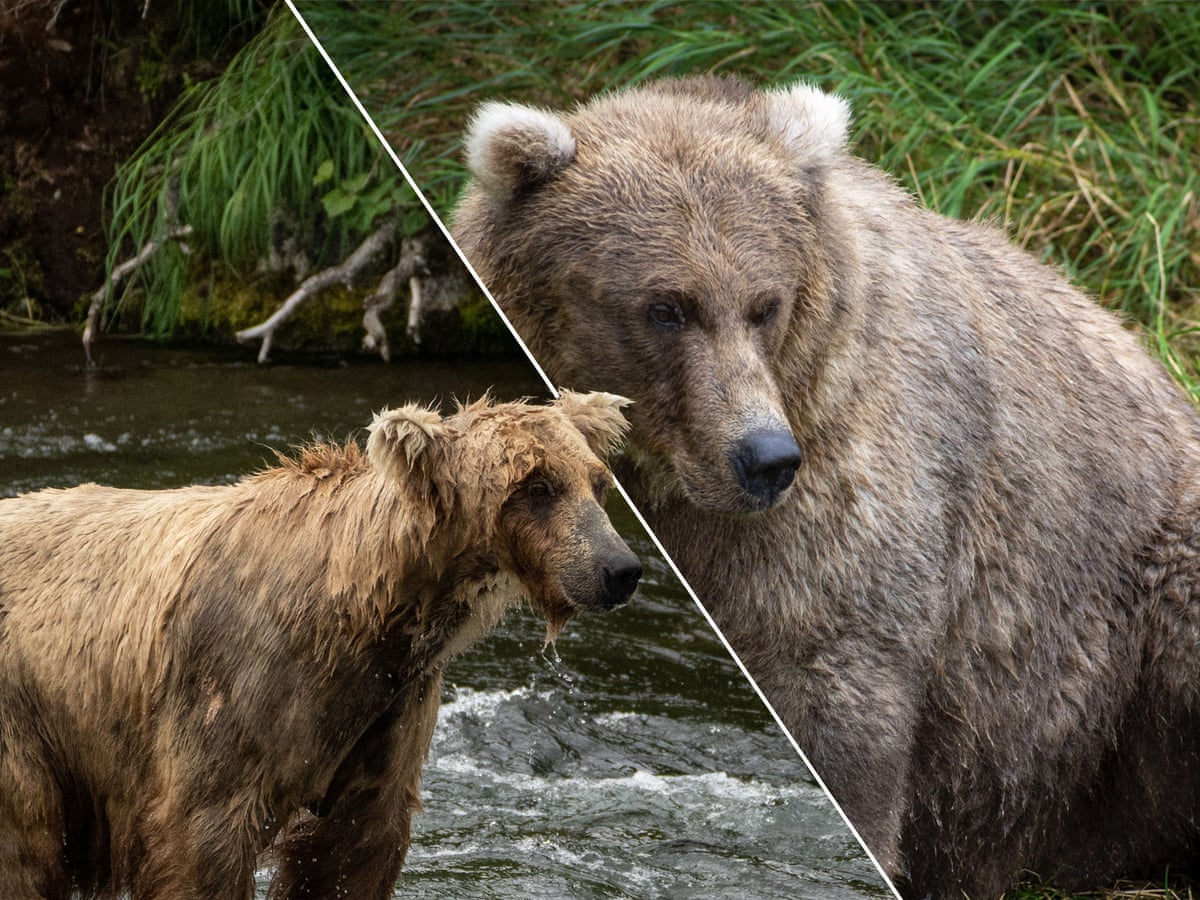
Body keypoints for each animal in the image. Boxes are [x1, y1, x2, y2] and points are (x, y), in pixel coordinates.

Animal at [0, 391, 641, 900]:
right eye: (536, 485)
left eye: (597, 482)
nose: (620, 569)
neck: (364, 615)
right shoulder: (229, 695)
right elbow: (200, 841)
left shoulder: (386, 712)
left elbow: (351, 851)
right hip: (28, 723)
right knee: (26, 846)